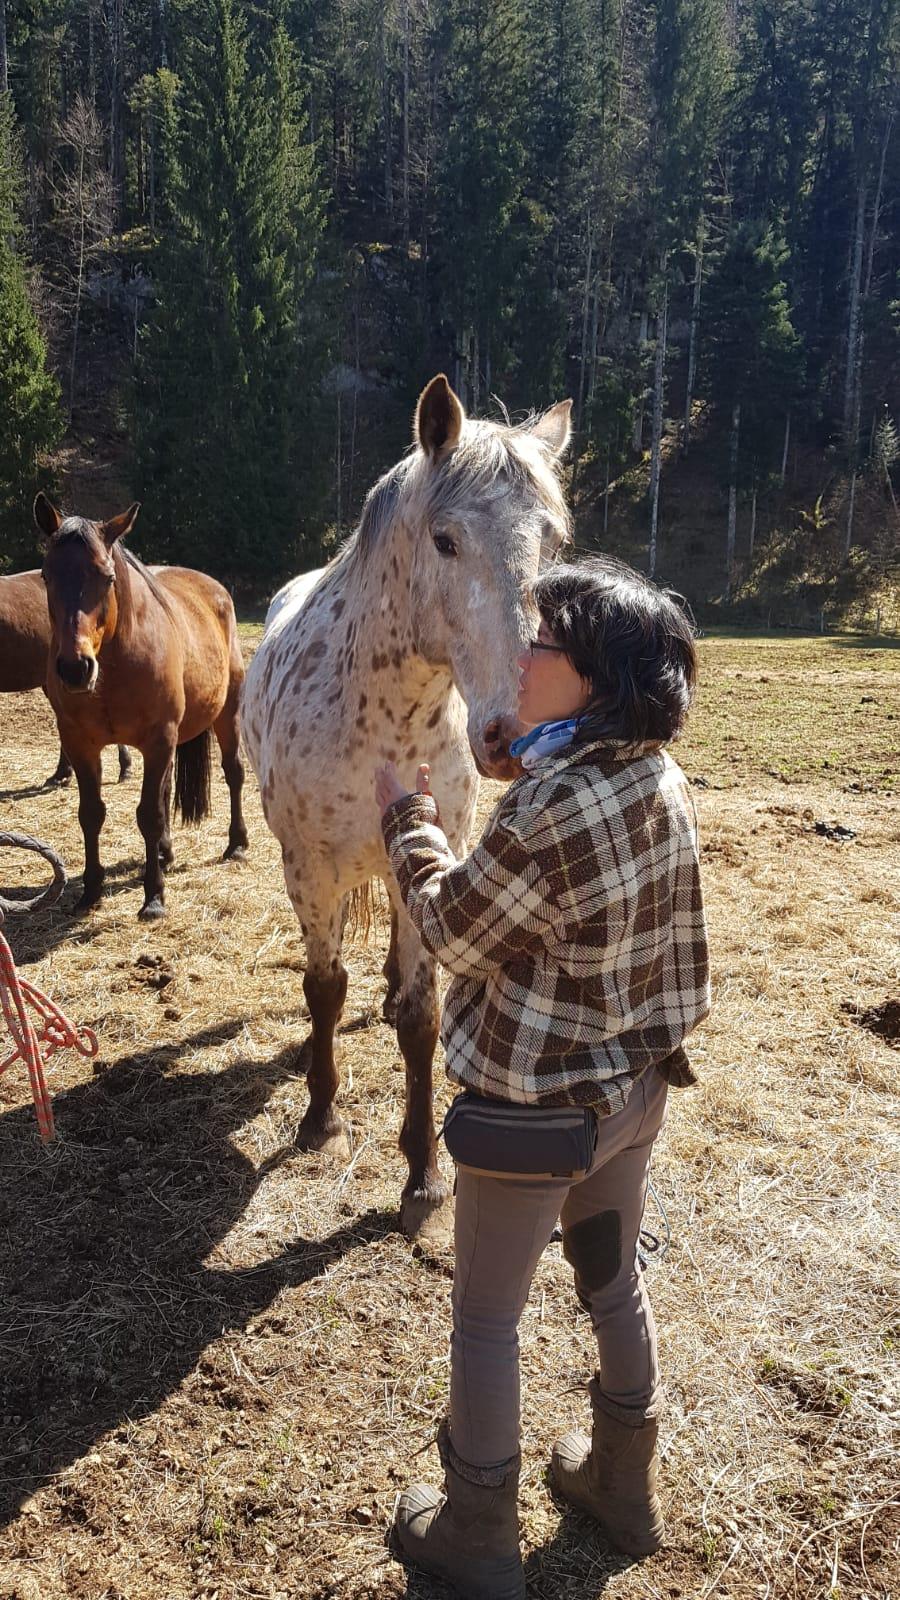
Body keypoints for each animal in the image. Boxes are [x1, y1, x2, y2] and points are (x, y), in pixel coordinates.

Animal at [35, 499, 246, 928]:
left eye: (107, 577)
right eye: (47, 576)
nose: (74, 668)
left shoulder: (158, 738)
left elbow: (148, 814)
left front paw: (154, 897)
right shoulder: (81, 745)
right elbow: (91, 814)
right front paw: (91, 891)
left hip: (227, 713)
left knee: (233, 773)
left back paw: (236, 844)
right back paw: (165, 852)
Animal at [241, 374, 570, 1235]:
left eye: (553, 544)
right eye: (445, 540)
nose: (512, 731)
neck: (383, 712)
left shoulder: (437, 855)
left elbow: (423, 1018)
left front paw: (423, 1175)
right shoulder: (308, 870)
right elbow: (323, 988)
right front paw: (320, 1116)